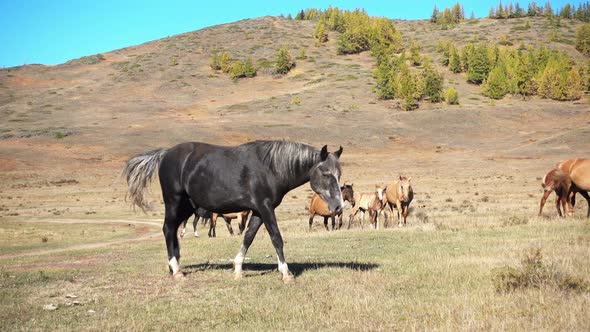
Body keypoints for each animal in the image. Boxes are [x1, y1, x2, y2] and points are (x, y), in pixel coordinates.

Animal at [122, 140, 344, 282]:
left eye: (339, 174)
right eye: (326, 173)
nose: (338, 207)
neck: (270, 168)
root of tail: (166, 153)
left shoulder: (258, 211)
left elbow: (248, 237)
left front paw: (237, 270)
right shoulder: (265, 208)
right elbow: (276, 238)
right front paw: (285, 273)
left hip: (188, 206)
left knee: (174, 230)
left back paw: (174, 265)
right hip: (174, 201)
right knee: (168, 229)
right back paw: (176, 270)